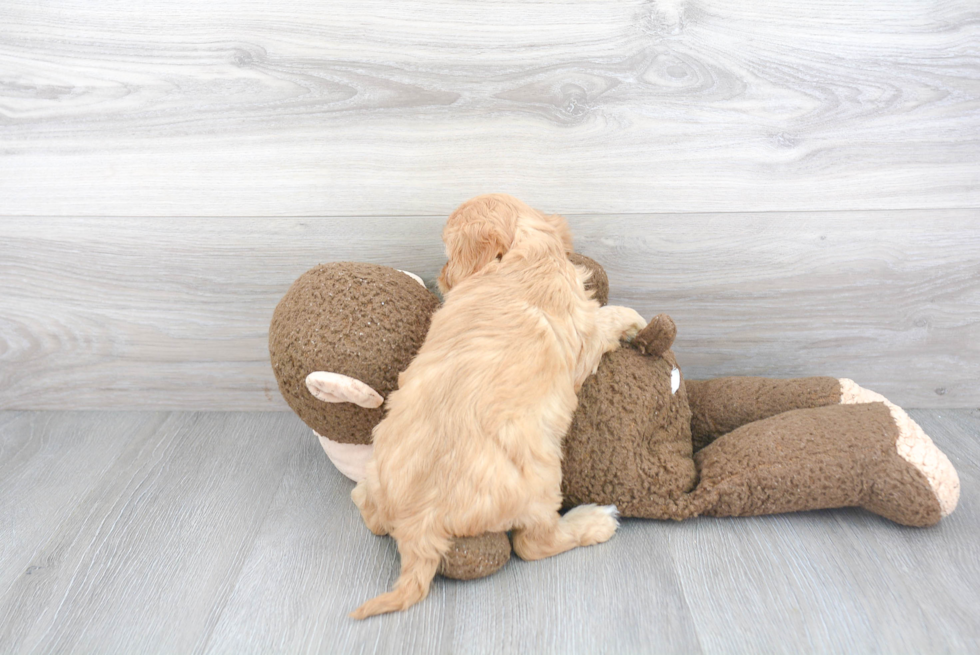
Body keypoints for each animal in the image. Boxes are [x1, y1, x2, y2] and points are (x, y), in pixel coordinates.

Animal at [348, 195, 648, 620]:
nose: (440, 276)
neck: (523, 259)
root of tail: (417, 525)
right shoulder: (583, 336)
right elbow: (604, 320)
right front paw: (632, 319)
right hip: (541, 482)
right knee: (534, 543)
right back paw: (595, 521)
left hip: (377, 461)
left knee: (369, 512)